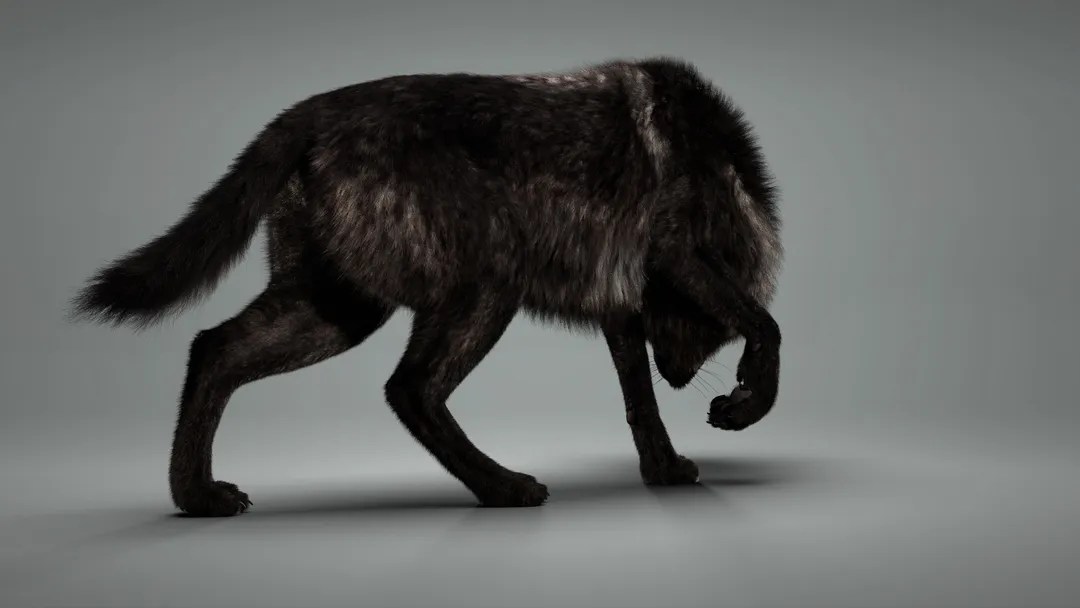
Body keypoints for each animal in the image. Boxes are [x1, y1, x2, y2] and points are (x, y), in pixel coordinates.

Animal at [71, 57, 783, 516]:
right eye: (710, 339)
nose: (682, 378)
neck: (727, 174)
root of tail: (307, 112)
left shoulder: (622, 308)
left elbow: (639, 402)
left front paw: (663, 471)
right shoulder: (674, 252)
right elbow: (766, 326)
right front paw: (743, 404)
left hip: (338, 309)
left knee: (213, 349)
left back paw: (196, 497)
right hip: (483, 288)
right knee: (409, 388)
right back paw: (503, 489)